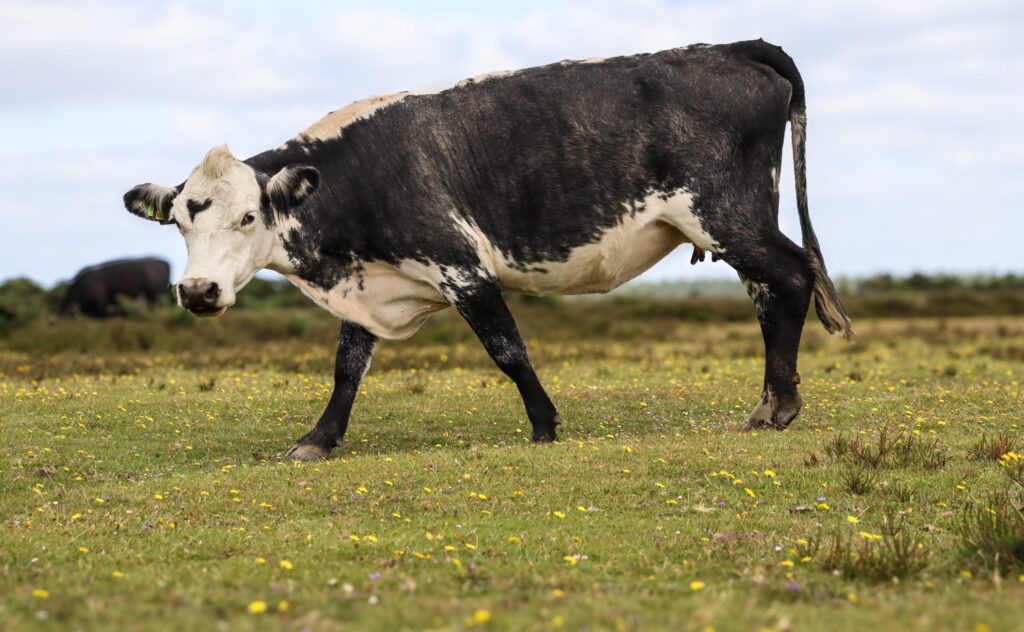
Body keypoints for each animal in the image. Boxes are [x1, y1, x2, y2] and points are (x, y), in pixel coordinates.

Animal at [123, 39, 852, 460]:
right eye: (181, 223)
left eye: (249, 217)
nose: (198, 292)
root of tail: (736, 47)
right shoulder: (371, 286)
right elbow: (346, 367)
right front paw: (318, 440)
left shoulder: (462, 268)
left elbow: (508, 350)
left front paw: (544, 425)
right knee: (771, 293)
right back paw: (773, 401)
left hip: (728, 216)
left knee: (791, 278)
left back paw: (777, 406)